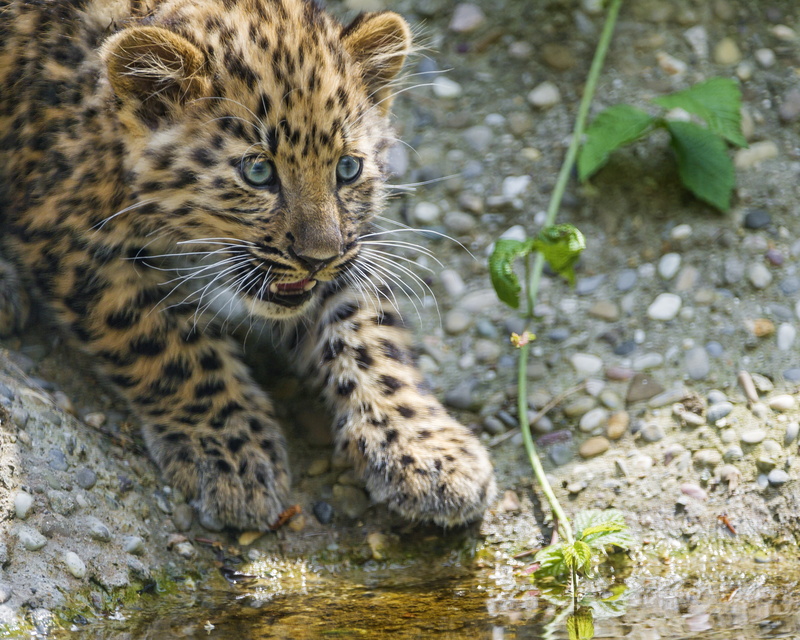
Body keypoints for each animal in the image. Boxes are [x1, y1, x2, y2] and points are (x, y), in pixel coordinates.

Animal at [0, 0, 496, 531]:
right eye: (258, 172)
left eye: (348, 169)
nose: (317, 258)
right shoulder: (71, 236)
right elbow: (168, 344)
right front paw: (234, 452)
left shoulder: (350, 249)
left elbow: (368, 337)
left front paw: (431, 453)